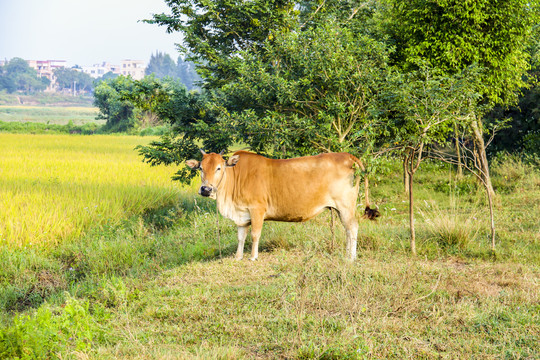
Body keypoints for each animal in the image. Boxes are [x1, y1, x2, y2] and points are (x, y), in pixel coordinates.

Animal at [188, 150, 378, 262]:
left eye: (219, 168)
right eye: (200, 168)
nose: (206, 189)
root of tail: (347, 156)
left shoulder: (257, 210)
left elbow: (255, 235)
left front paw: (253, 257)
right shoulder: (242, 216)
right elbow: (241, 237)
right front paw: (238, 256)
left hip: (346, 206)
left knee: (352, 227)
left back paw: (350, 257)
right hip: (340, 209)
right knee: (348, 229)